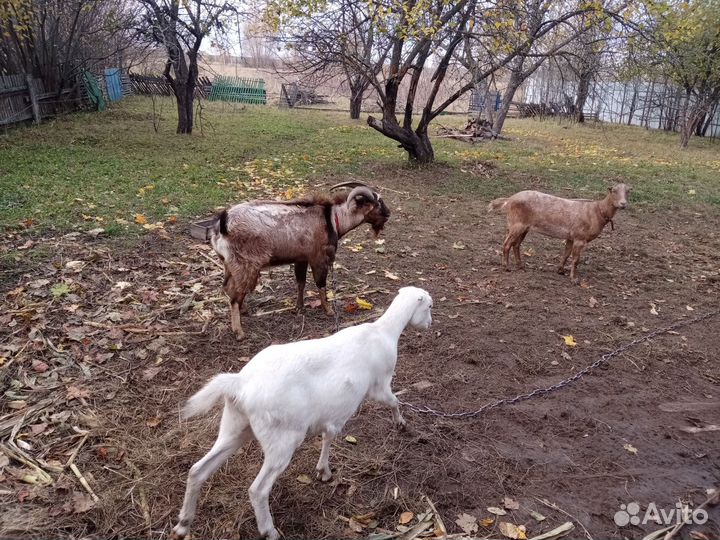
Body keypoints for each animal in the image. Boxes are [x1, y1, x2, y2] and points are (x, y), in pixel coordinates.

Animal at [169, 286, 433, 540]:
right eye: (429, 306)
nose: (430, 324)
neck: (384, 331)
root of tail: (240, 383)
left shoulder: (332, 412)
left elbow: (329, 436)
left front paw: (323, 471)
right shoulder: (379, 385)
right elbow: (393, 401)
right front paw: (401, 423)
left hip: (235, 426)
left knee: (197, 470)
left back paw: (183, 524)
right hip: (282, 437)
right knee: (258, 489)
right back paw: (269, 531)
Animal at [212, 181, 390, 339]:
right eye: (377, 203)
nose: (388, 213)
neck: (331, 219)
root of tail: (224, 224)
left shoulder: (301, 259)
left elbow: (301, 283)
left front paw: (300, 308)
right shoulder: (318, 258)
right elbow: (321, 284)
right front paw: (328, 310)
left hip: (229, 265)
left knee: (228, 288)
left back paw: (244, 310)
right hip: (246, 266)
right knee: (235, 296)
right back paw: (239, 332)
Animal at [489, 183, 631, 283]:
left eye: (628, 191)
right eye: (614, 191)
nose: (623, 203)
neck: (597, 212)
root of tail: (509, 199)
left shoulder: (571, 237)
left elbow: (566, 254)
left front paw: (560, 270)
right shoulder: (580, 237)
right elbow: (575, 259)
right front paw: (573, 279)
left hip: (524, 227)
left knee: (516, 245)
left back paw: (521, 266)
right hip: (516, 224)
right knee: (506, 244)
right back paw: (506, 267)